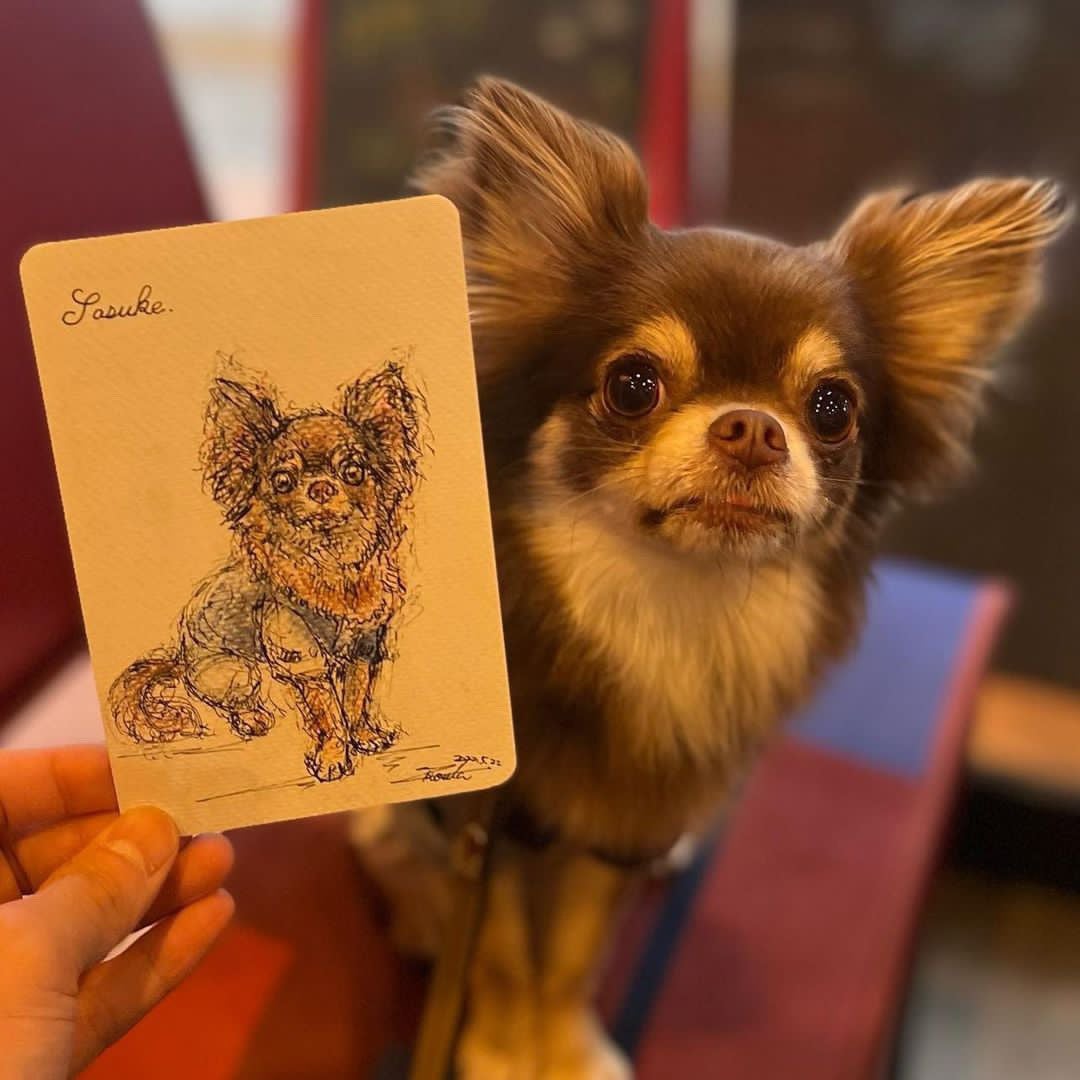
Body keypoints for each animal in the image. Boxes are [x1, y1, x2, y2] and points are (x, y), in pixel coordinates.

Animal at [109, 362, 425, 783]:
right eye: (282, 481)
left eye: (353, 472)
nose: (321, 488)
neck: (333, 567)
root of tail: (180, 656)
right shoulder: (302, 660)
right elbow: (329, 713)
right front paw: (333, 756)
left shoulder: (363, 646)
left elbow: (355, 698)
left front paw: (364, 736)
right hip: (235, 672)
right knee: (226, 698)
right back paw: (251, 718)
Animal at [348, 78, 1072, 1079]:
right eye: (632, 384)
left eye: (833, 409)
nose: (753, 428)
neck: (672, 603)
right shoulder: (485, 826)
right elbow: (497, 947)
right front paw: (497, 1048)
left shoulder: (623, 828)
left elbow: (569, 955)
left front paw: (563, 1046)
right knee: (381, 844)